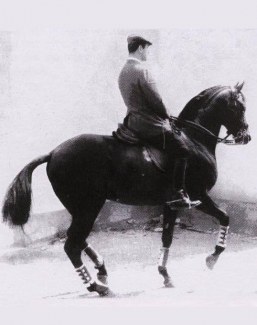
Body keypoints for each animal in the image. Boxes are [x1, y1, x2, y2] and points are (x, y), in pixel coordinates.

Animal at [2, 81, 250, 294]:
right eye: (239, 106)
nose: (246, 136)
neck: (194, 139)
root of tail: (53, 153)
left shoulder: (171, 204)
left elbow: (167, 237)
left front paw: (165, 274)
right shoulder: (199, 196)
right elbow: (225, 216)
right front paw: (212, 258)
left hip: (80, 208)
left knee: (77, 239)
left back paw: (101, 270)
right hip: (89, 207)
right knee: (72, 244)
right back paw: (96, 286)